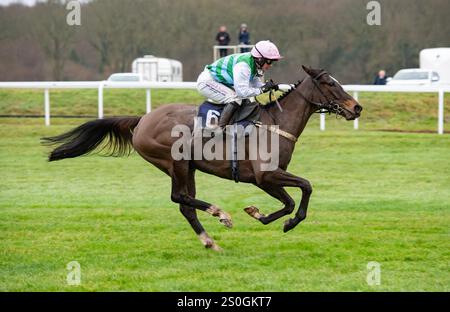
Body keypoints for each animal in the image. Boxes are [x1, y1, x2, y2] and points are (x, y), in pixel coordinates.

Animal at [42, 66, 362, 251]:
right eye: (330, 84)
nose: (356, 107)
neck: (275, 123)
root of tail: (143, 119)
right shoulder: (265, 176)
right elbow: (303, 190)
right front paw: (283, 221)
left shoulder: (267, 178)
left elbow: (291, 200)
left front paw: (260, 214)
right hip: (175, 161)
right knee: (179, 197)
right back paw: (220, 214)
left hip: (189, 168)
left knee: (185, 204)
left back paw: (210, 240)